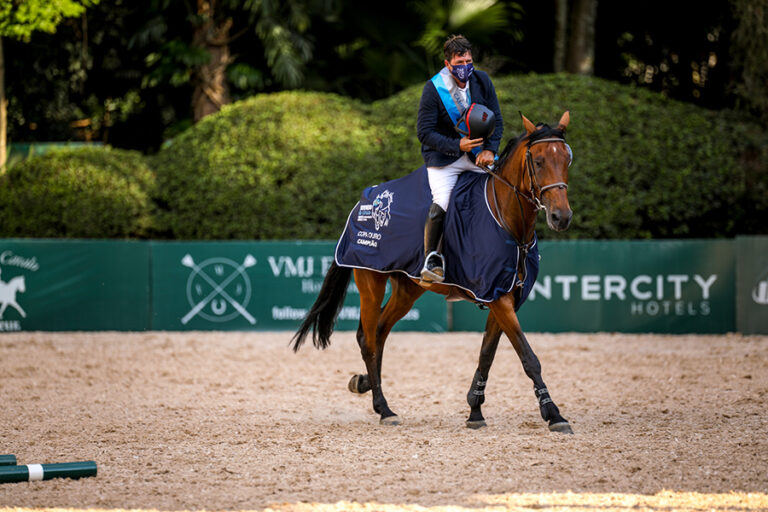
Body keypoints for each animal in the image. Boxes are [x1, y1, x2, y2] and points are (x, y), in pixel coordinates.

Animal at [292, 111, 572, 432]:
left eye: (567, 159)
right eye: (538, 161)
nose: (561, 217)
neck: (508, 221)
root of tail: (364, 200)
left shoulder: (503, 296)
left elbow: (486, 354)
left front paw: (475, 411)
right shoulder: (497, 296)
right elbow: (528, 357)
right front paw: (554, 414)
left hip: (407, 289)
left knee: (380, 331)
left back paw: (365, 384)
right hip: (371, 282)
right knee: (369, 340)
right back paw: (384, 408)